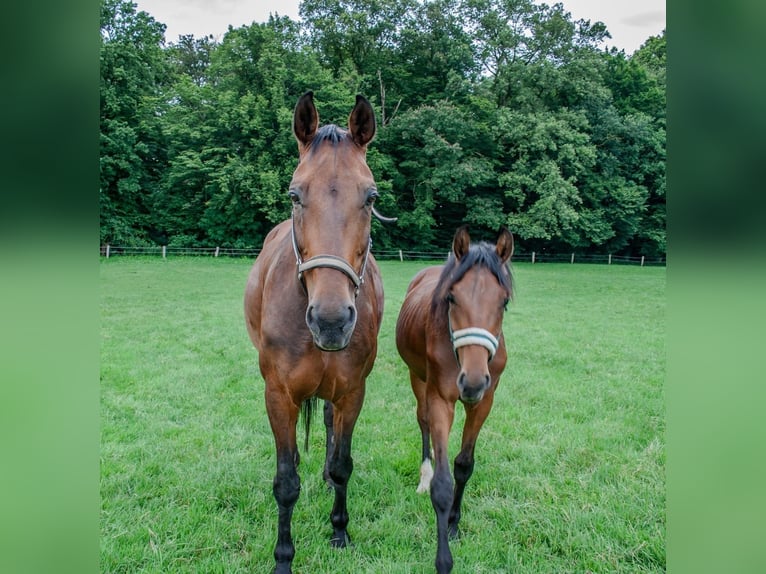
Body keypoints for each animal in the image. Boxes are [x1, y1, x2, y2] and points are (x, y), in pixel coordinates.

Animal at [248, 92, 390, 572]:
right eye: (295, 194)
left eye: (370, 196)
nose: (330, 320)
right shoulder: (278, 395)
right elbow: (286, 481)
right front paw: (283, 558)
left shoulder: (352, 392)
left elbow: (344, 463)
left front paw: (340, 532)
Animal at [396, 226, 516, 574]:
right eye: (452, 297)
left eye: (504, 302)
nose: (473, 381)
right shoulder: (440, 399)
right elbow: (443, 485)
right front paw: (443, 559)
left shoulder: (484, 401)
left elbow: (463, 465)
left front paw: (453, 523)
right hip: (417, 377)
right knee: (422, 422)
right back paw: (425, 473)